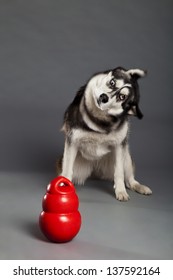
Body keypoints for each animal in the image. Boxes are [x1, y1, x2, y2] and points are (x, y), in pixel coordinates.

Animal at [56, 66, 151, 200]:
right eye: (112, 82)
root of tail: (96, 170)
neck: (98, 120)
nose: (104, 97)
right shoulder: (72, 141)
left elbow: (119, 173)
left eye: (122, 97)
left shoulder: (119, 146)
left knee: (129, 178)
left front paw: (121, 191)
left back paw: (139, 186)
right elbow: (67, 171)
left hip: (126, 156)